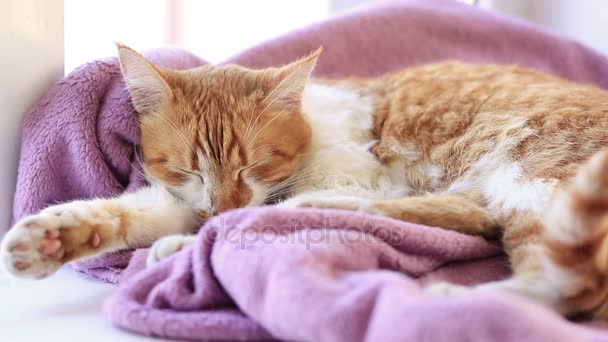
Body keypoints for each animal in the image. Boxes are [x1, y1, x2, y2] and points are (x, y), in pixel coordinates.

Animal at [1, 44, 608, 320]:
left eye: (252, 165)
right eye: (189, 168)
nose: (223, 205)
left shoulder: (371, 178)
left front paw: (198, 238)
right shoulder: (186, 199)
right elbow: (134, 211)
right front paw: (53, 236)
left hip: (532, 168)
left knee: (565, 284)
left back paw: (451, 306)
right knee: (468, 217)